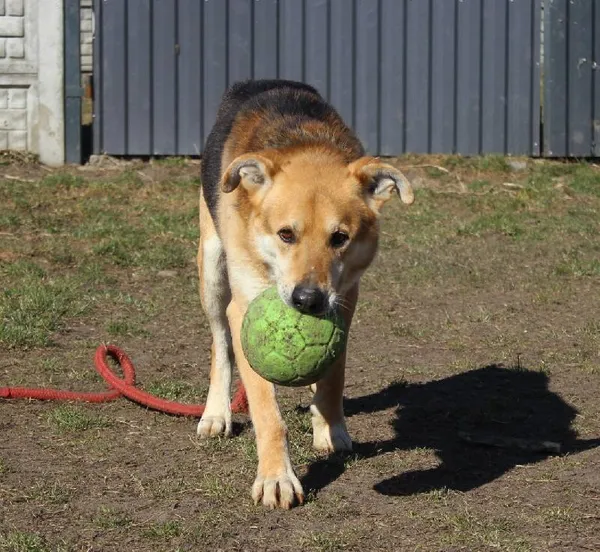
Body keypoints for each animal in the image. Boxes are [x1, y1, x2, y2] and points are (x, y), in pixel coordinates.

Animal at [199, 78, 414, 508]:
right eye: (286, 234)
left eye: (340, 238)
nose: (307, 301)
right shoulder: (245, 312)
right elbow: (267, 411)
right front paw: (276, 478)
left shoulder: (345, 301)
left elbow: (334, 377)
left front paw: (331, 429)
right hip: (212, 271)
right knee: (220, 345)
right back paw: (216, 412)